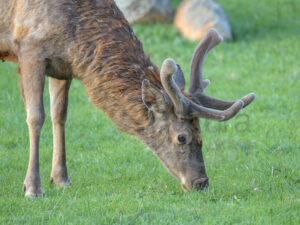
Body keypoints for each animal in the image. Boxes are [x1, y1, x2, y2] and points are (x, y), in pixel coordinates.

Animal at [0, 0, 254, 197]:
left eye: (201, 133)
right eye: (182, 137)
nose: (201, 183)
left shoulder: (62, 67)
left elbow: (59, 115)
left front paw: (61, 179)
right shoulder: (30, 48)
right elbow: (36, 117)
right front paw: (32, 187)